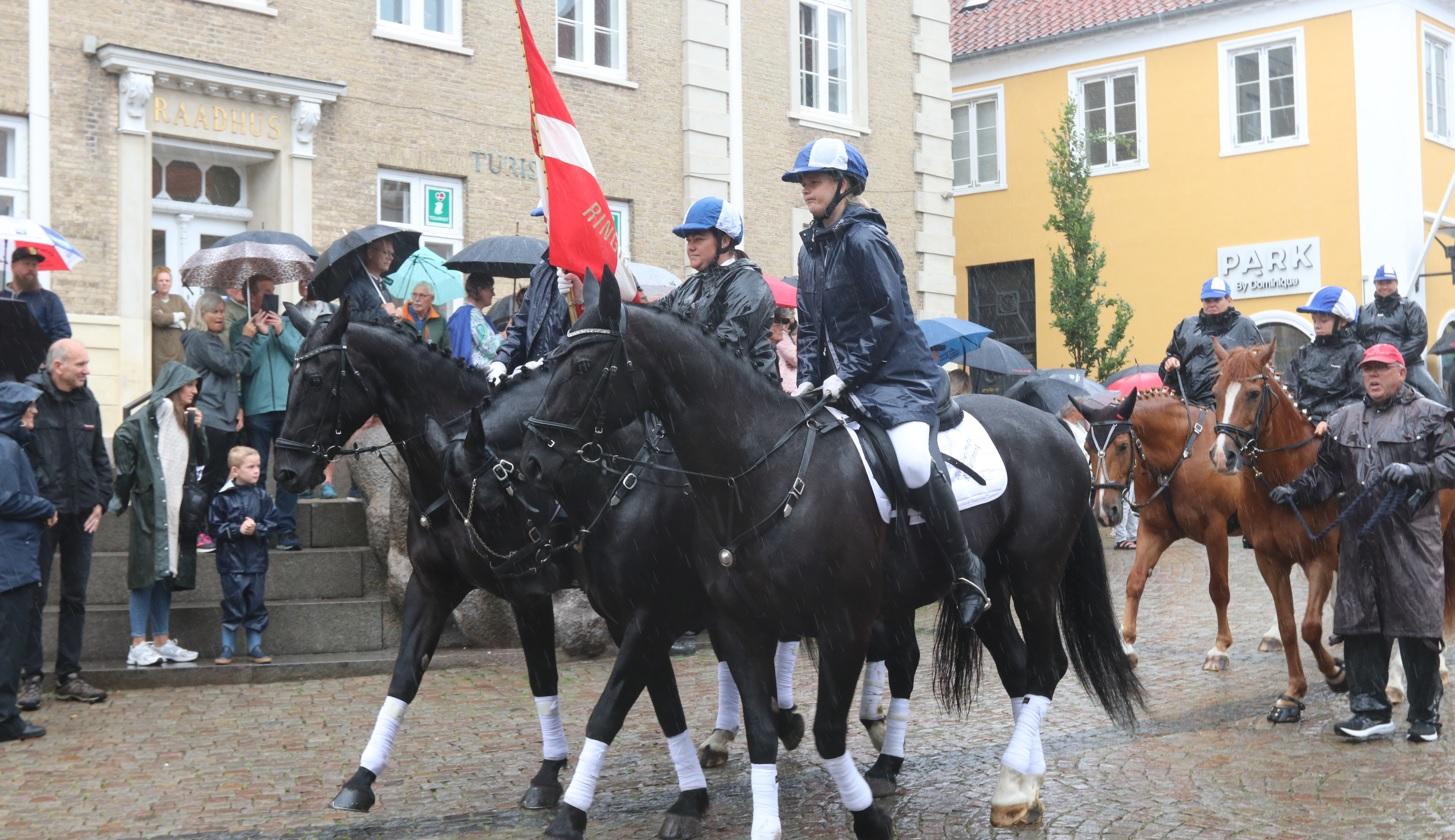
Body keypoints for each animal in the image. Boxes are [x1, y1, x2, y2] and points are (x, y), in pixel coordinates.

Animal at [273, 305, 573, 815]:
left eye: (313, 379)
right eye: (289, 376)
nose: (286, 472)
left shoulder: (528, 588)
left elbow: (541, 675)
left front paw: (549, 774)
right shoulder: (433, 587)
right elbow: (403, 676)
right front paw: (361, 779)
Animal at [517, 272, 1140, 832]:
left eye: (580, 366)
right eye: (549, 362)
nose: (533, 462)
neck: (758, 470)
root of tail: (1059, 431)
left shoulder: (831, 622)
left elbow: (822, 731)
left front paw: (864, 814)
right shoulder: (731, 624)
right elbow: (750, 731)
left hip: (1035, 576)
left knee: (1045, 667)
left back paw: (1009, 781)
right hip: (987, 594)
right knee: (1018, 671)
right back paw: (1021, 786)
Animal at [1076, 390, 1245, 672]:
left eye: (1122, 446)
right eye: (1087, 447)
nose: (1104, 510)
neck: (1182, 455)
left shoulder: (1216, 531)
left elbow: (1219, 589)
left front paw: (1220, 648)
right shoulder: (1154, 530)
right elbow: (1135, 581)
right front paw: (1127, 644)